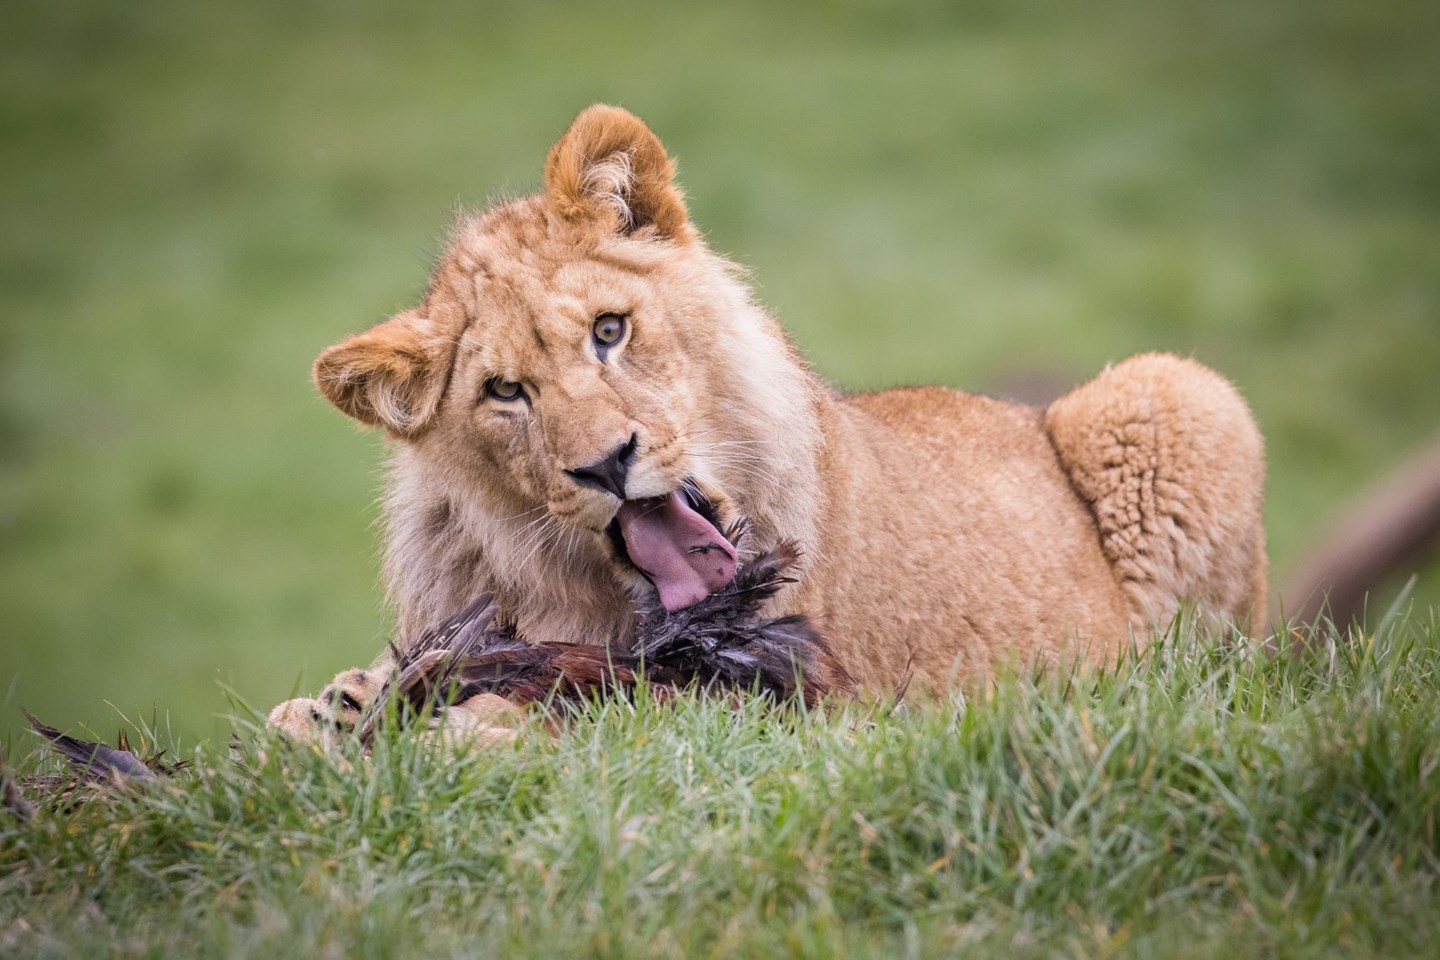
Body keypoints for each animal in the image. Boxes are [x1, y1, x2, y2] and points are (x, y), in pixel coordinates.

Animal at [267, 103, 1261, 736]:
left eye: (608, 331)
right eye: (505, 393)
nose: (606, 465)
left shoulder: (788, 691)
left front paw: (466, 724)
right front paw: (334, 709)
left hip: (1178, 393)